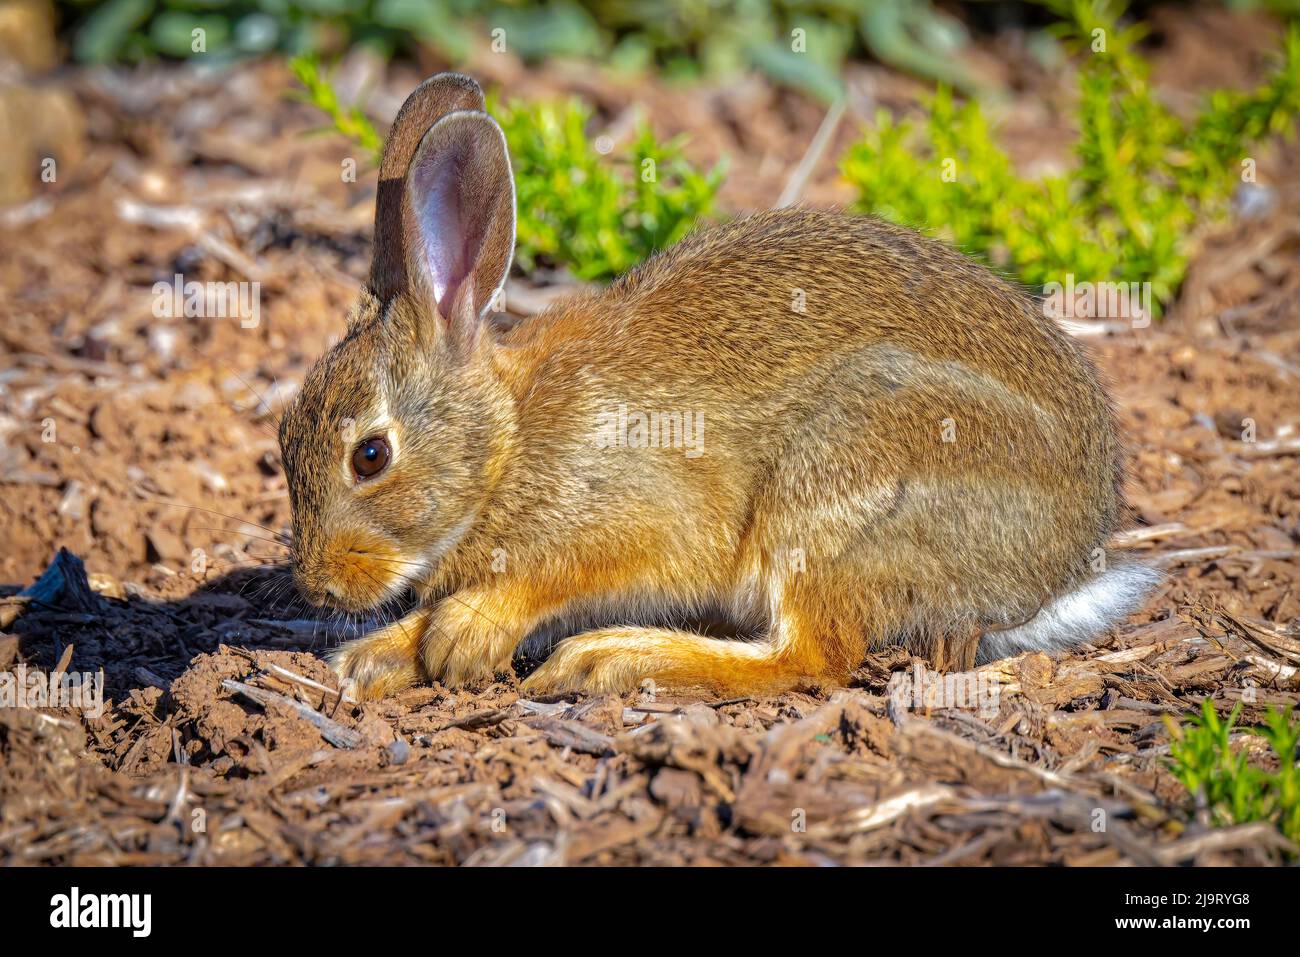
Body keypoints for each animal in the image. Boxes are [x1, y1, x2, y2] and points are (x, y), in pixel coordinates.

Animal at [277, 72, 1161, 701]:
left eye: (369, 455)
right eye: (285, 437)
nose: (317, 585)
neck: (506, 445)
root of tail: (1059, 567)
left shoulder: (634, 514)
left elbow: (541, 577)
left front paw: (464, 633)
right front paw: (376, 655)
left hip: (843, 480)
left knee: (812, 657)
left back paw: (610, 659)